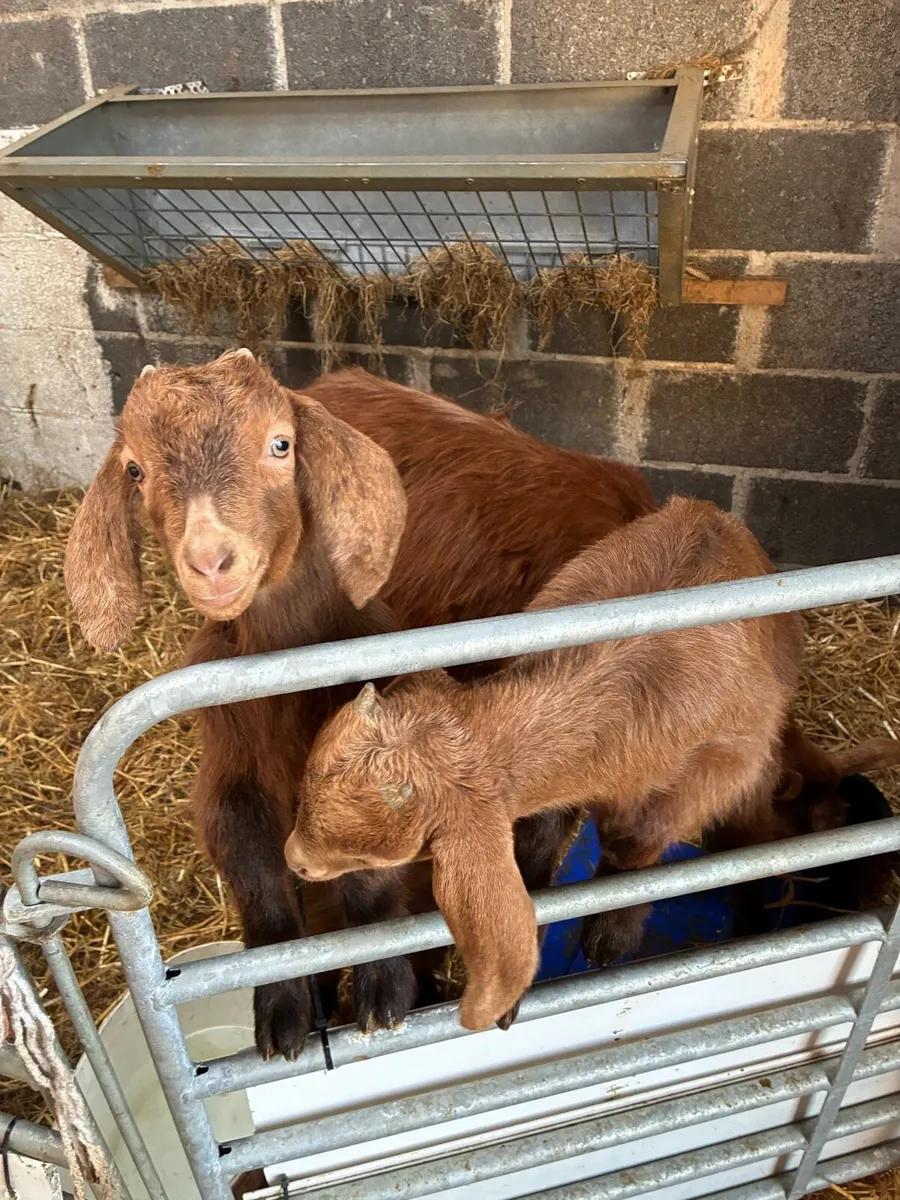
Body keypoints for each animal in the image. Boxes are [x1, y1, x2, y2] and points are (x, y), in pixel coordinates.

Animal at [64, 351, 657, 1059]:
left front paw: (393, 991)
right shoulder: (234, 766)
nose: (210, 560)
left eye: (281, 444)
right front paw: (287, 1010)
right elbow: (261, 877)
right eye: (135, 468)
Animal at [285, 497, 806, 1031]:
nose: (294, 861)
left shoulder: (715, 772)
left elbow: (637, 845)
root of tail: (712, 512)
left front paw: (610, 934)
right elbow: (535, 847)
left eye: (372, 858)